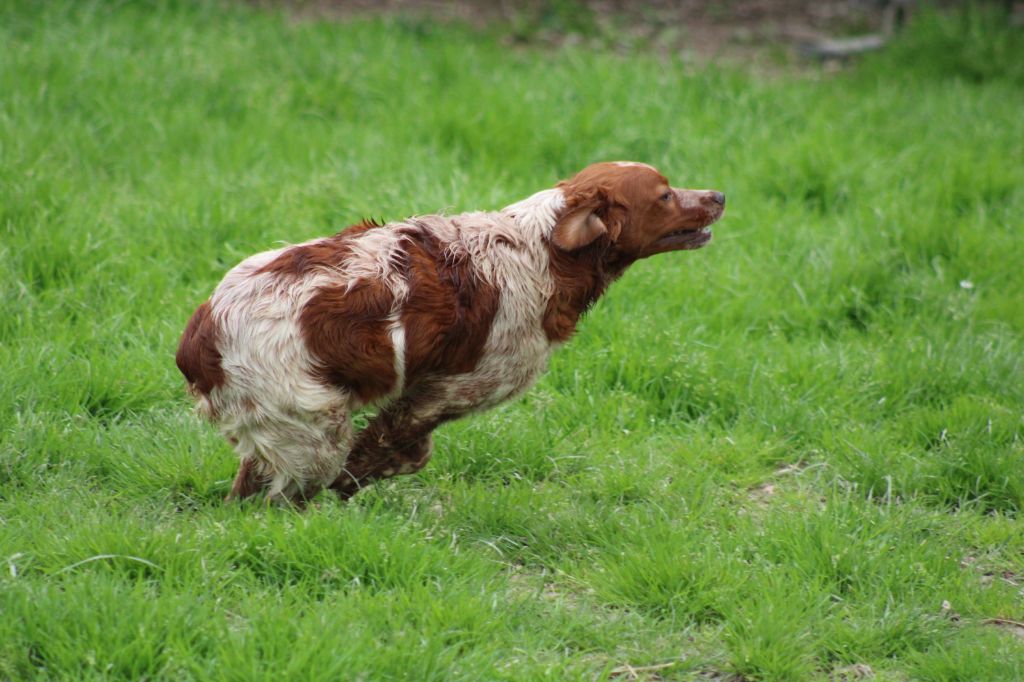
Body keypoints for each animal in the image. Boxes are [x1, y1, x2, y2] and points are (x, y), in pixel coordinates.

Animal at [176, 159, 724, 499]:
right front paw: (364, 476)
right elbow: (395, 444)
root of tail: (202, 335)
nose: (719, 193)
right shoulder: (453, 387)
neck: (542, 253)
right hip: (312, 429)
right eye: (665, 195)